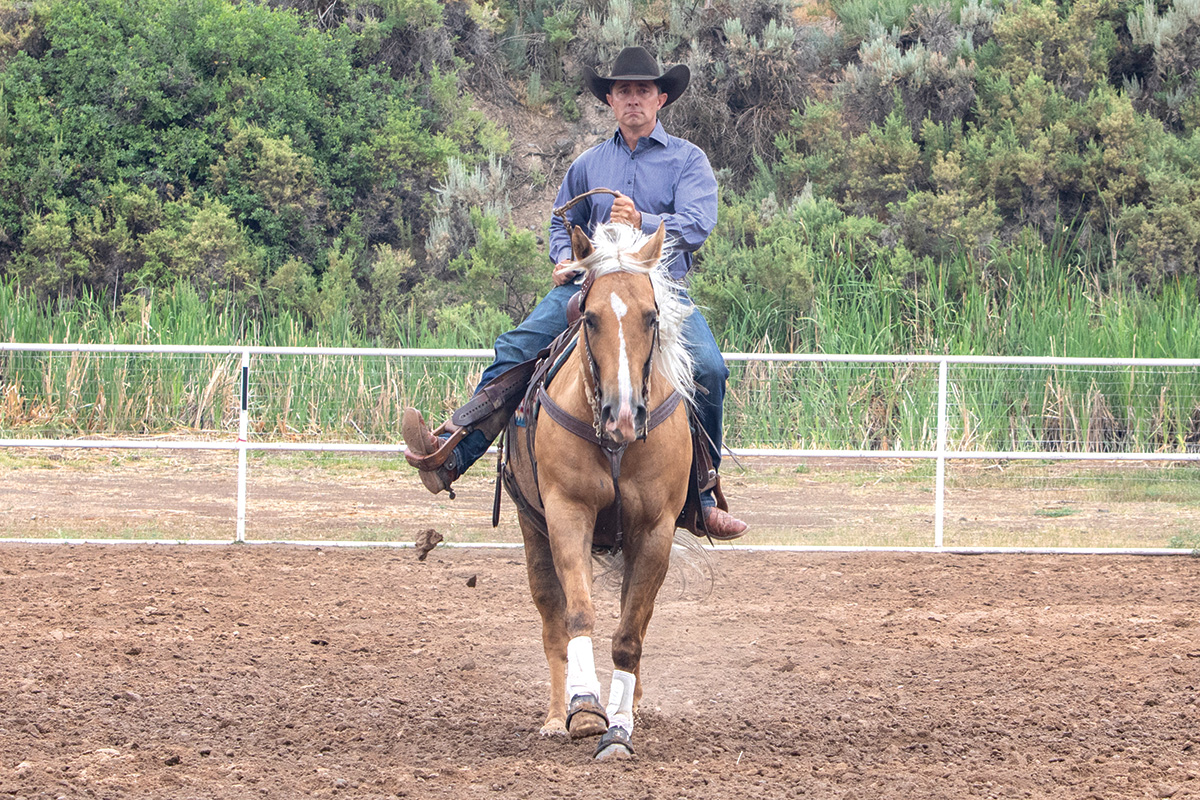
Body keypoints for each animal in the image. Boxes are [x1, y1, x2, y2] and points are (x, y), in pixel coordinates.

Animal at [504, 221, 696, 762]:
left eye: (652, 316)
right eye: (588, 318)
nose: (623, 415)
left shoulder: (654, 531)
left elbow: (630, 635)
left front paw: (619, 730)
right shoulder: (568, 513)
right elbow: (578, 614)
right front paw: (587, 709)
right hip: (533, 528)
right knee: (553, 619)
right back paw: (557, 715)